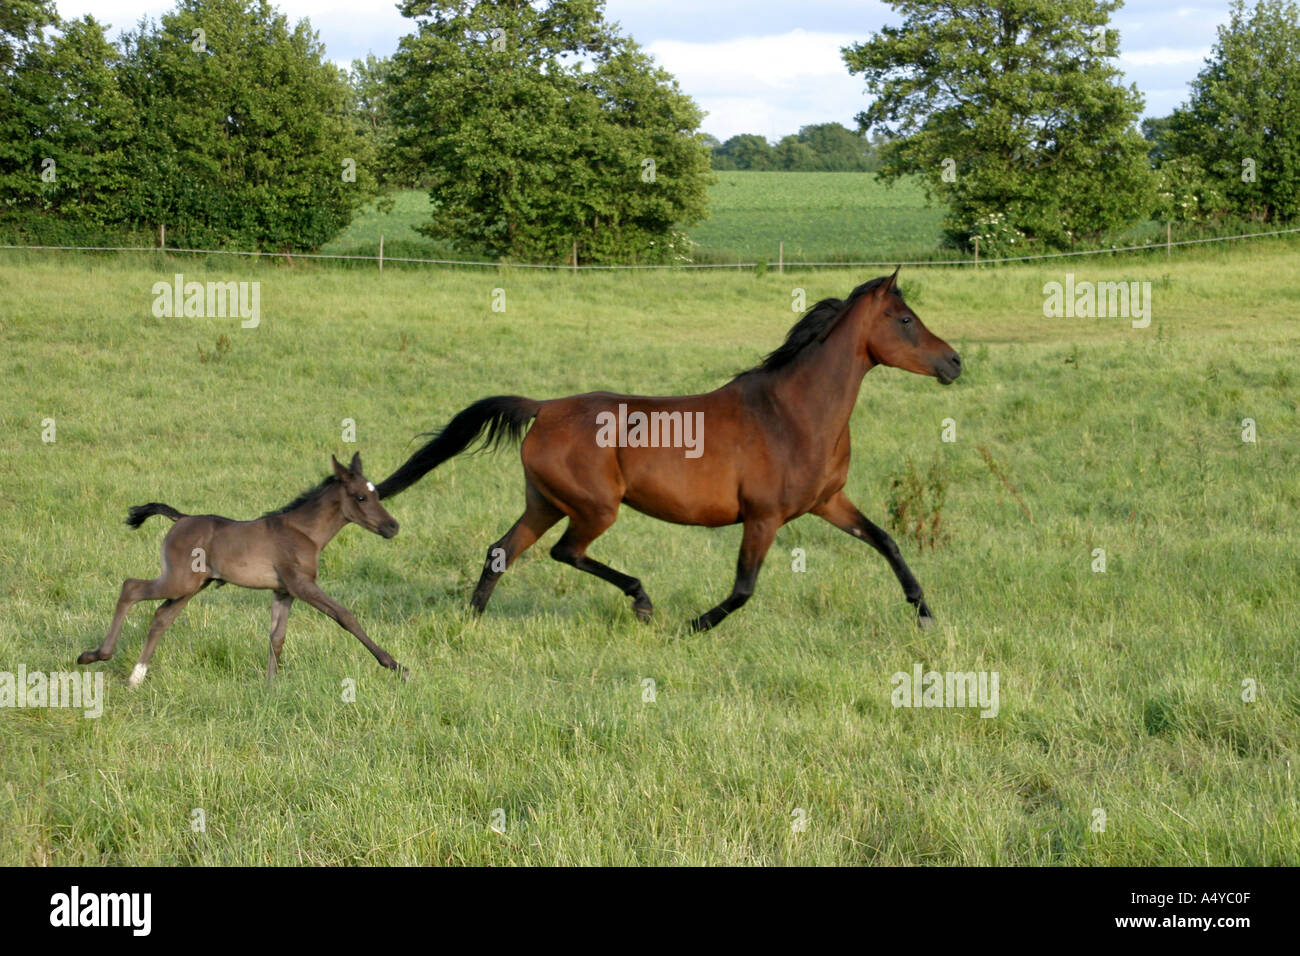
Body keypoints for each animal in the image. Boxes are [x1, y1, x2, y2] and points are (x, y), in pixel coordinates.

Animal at [78, 455, 403, 686]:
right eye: (360, 497)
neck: (304, 532)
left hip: (191, 586)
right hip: (180, 582)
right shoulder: (302, 585)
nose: (392, 527)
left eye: (377, 495)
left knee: (161, 618)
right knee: (131, 587)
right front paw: (396, 666)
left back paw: (136, 677)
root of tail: (181, 518)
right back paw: (95, 655)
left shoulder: (283, 591)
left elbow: (277, 637)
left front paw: (270, 687)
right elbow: (345, 616)